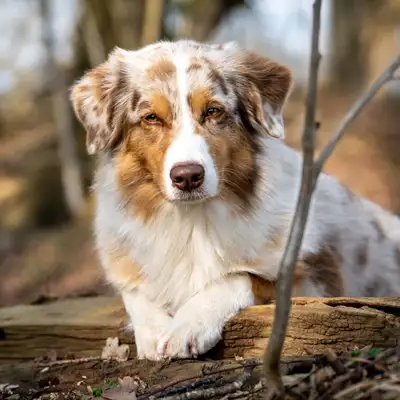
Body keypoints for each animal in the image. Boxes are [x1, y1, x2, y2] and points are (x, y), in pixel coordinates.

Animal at [70, 39, 400, 360]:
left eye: (213, 111)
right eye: (151, 118)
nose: (187, 176)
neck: (193, 222)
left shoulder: (318, 276)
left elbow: (241, 275)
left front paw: (189, 324)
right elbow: (135, 293)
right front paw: (153, 329)